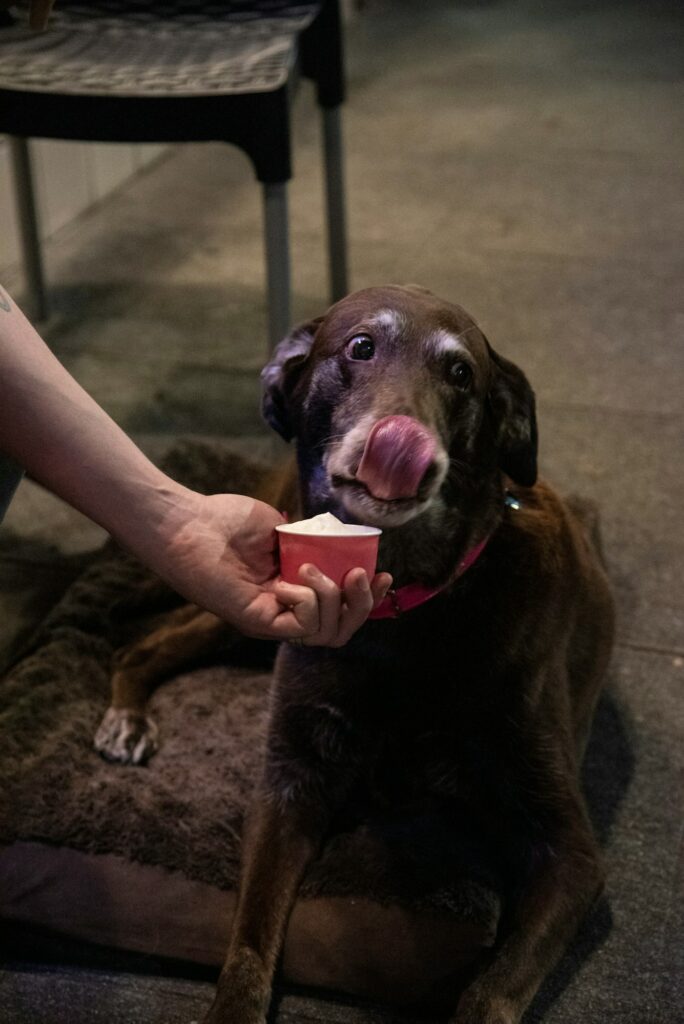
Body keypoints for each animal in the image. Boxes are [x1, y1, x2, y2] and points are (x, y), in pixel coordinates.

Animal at [93, 286, 610, 1024]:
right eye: (361, 347)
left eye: (461, 374)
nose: (405, 446)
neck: (405, 610)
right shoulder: (290, 786)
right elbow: (249, 938)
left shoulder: (568, 853)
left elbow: (491, 990)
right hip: (244, 611)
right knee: (146, 640)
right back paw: (127, 717)